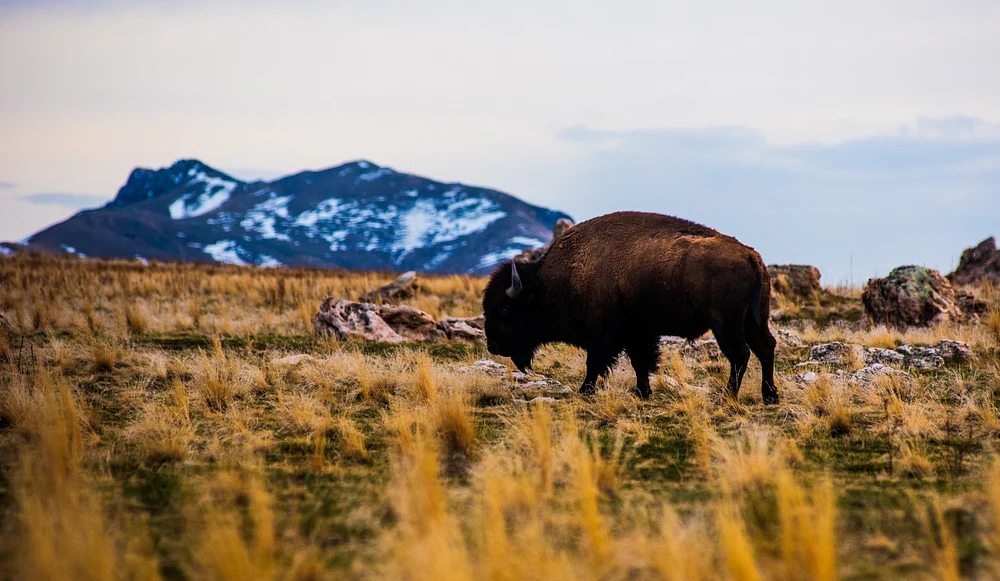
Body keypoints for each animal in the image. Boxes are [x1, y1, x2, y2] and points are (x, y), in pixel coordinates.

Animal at [483, 211, 778, 403]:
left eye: (505, 310)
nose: (492, 345)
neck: (548, 284)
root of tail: (751, 255)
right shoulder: (639, 333)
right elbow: (640, 362)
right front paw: (642, 392)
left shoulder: (603, 335)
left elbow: (596, 363)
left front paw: (585, 390)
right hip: (754, 320)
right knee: (765, 348)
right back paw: (769, 396)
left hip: (725, 324)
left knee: (740, 355)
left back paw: (728, 396)